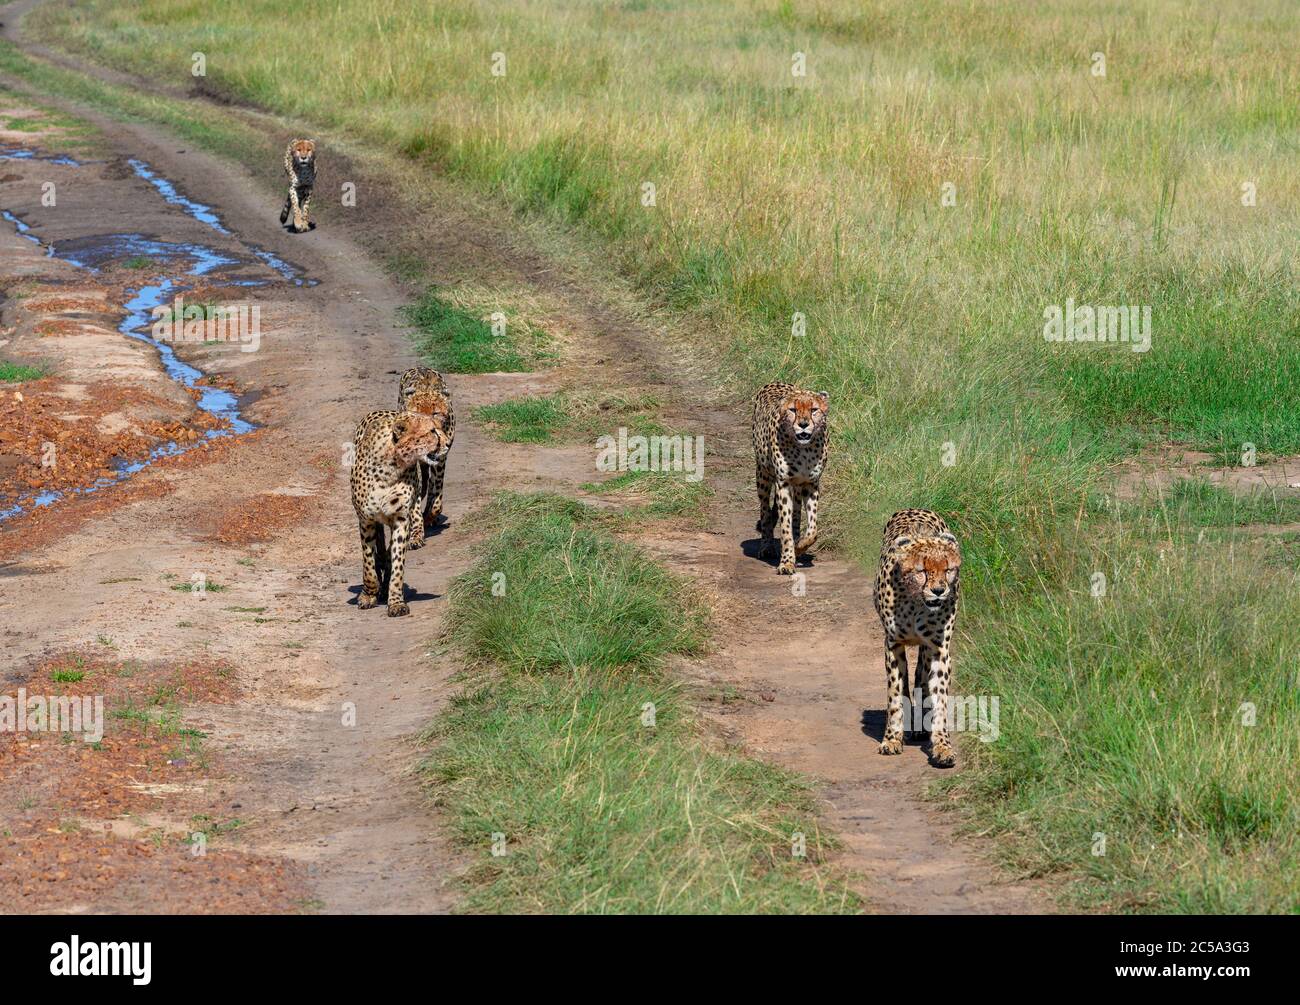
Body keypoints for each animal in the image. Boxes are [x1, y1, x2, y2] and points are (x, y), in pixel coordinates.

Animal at [348, 410, 449, 616]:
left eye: (440, 428)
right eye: (432, 431)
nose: (448, 443)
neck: (391, 465)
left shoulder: (401, 520)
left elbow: (397, 564)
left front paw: (395, 601)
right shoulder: (366, 520)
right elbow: (368, 564)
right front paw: (368, 594)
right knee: (378, 549)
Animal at [395, 366, 457, 546]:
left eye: (435, 413)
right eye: (416, 413)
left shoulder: (441, 458)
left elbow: (436, 491)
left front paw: (430, 515)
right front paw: (416, 534)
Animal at [754, 379, 832, 572]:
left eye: (814, 409)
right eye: (793, 410)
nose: (803, 424)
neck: (804, 449)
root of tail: (776, 381)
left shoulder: (811, 483)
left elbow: (813, 529)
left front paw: (801, 546)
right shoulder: (783, 483)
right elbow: (785, 528)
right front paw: (787, 561)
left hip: (798, 487)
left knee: (796, 514)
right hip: (763, 476)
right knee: (765, 511)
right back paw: (766, 546)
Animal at [868, 509, 961, 769]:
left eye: (948, 569)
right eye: (922, 571)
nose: (939, 591)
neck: (917, 604)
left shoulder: (938, 648)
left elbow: (939, 698)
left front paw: (942, 746)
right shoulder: (893, 644)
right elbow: (896, 694)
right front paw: (891, 739)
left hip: (926, 649)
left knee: (921, 676)